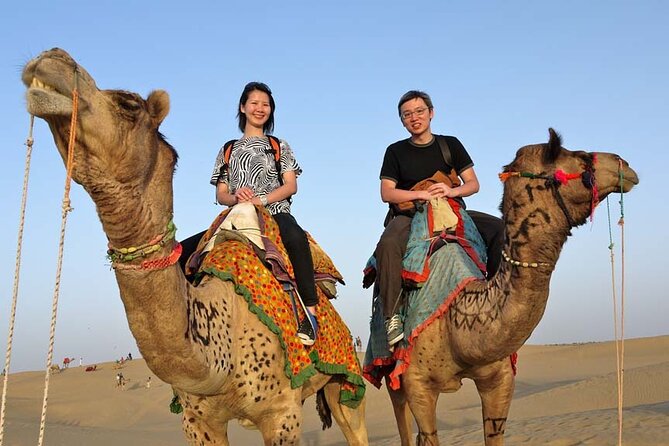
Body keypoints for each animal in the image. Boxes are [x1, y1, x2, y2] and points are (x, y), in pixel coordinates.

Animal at [378, 127, 640, 444]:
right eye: (581, 157)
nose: (625, 163)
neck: (457, 322)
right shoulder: (416, 382)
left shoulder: (500, 379)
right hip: (391, 374)